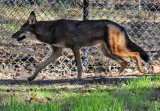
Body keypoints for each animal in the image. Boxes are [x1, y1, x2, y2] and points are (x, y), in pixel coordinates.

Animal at [11, 11, 149, 81]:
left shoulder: (75, 47)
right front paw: (31, 77)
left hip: (114, 51)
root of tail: (120, 26)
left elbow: (79, 66)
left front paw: (79, 78)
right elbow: (40, 65)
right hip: (108, 52)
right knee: (125, 62)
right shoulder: (57, 52)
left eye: (21, 29)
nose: (12, 36)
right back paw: (115, 75)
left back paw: (141, 71)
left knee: (135, 54)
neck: (51, 30)